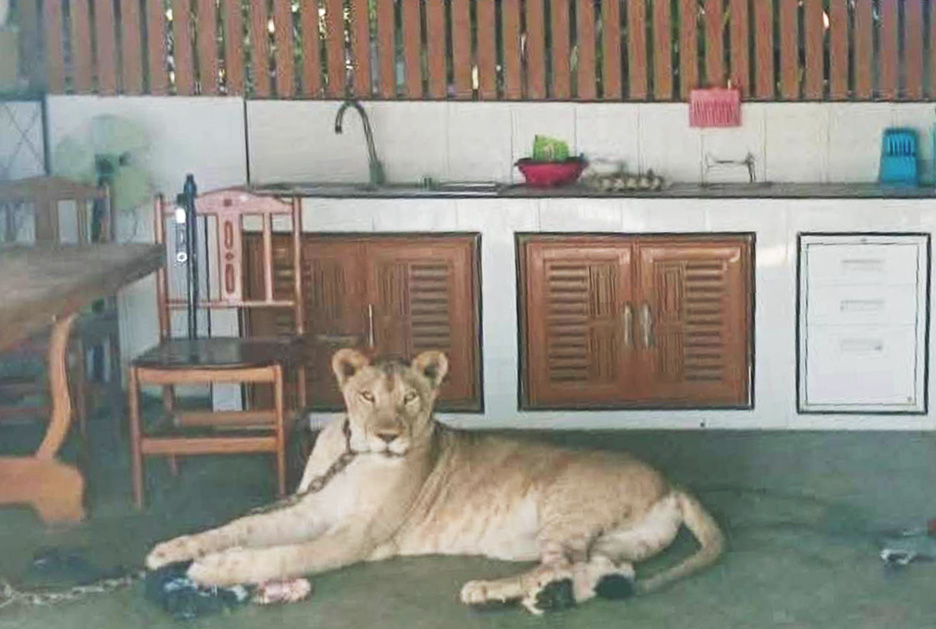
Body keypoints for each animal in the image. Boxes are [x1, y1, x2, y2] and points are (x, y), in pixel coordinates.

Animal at [146, 349, 725, 614]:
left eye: (410, 398)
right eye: (367, 396)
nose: (386, 436)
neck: (356, 454)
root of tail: (672, 483)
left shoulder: (355, 537)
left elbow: (287, 555)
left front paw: (214, 570)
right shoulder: (310, 508)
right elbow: (241, 527)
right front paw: (173, 549)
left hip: (566, 509)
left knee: (559, 563)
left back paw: (489, 592)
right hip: (616, 541)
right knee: (600, 569)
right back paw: (547, 598)